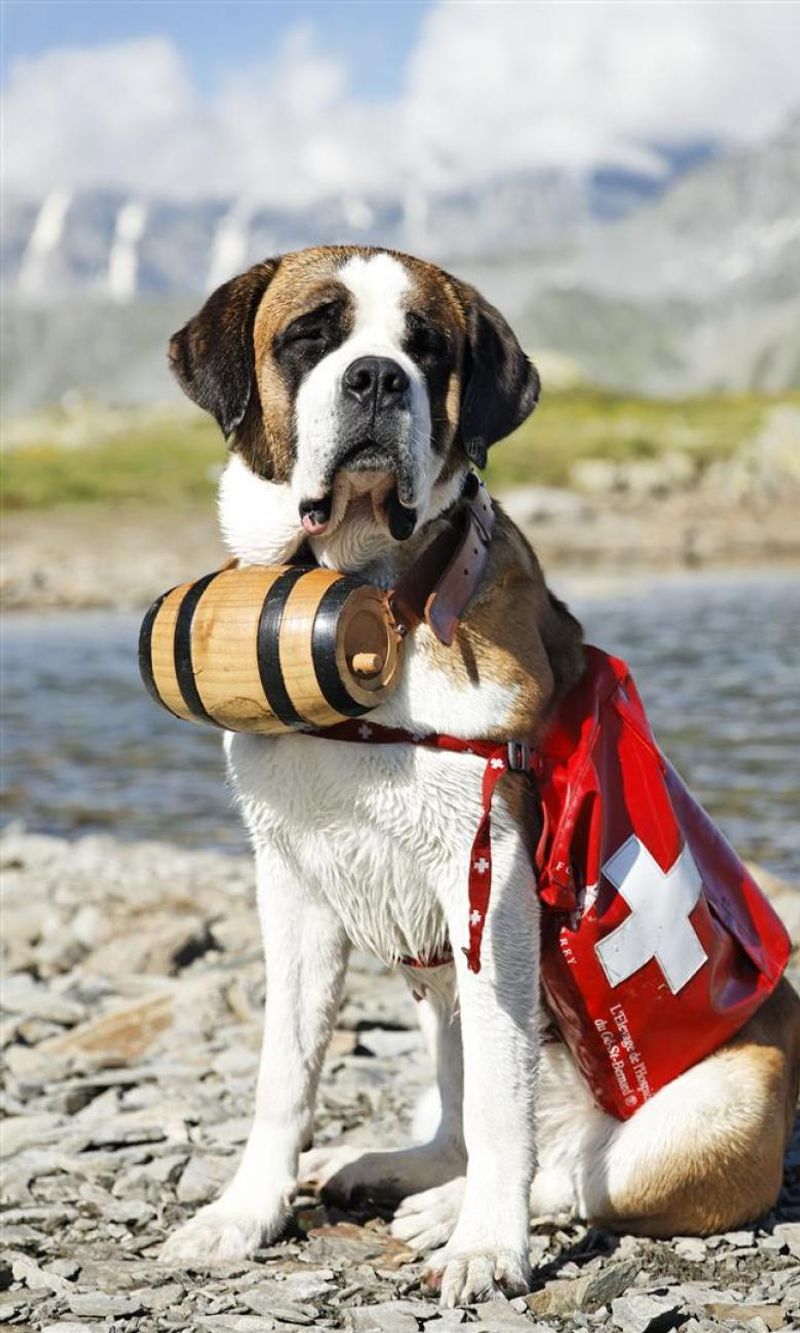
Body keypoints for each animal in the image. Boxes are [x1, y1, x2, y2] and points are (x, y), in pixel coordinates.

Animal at [160, 245, 800, 1306]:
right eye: (312, 334)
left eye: (426, 348)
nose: (378, 378)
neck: (370, 597)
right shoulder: (292, 885)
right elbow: (286, 1067)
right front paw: (244, 1214)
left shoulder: (492, 887)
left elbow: (506, 1099)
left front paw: (488, 1246)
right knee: (464, 1118)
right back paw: (404, 1173)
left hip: (728, 1101)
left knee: (576, 1166)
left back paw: (455, 1210)